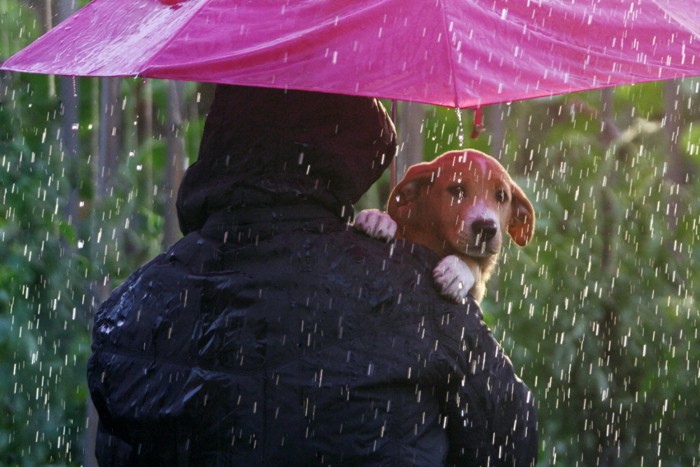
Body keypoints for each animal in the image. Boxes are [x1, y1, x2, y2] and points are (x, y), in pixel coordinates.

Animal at [358, 150, 532, 304]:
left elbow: (473, 263)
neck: (436, 241)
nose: (486, 228)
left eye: (501, 196)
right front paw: (378, 217)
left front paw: (458, 271)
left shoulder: (478, 292)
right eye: (457, 190)